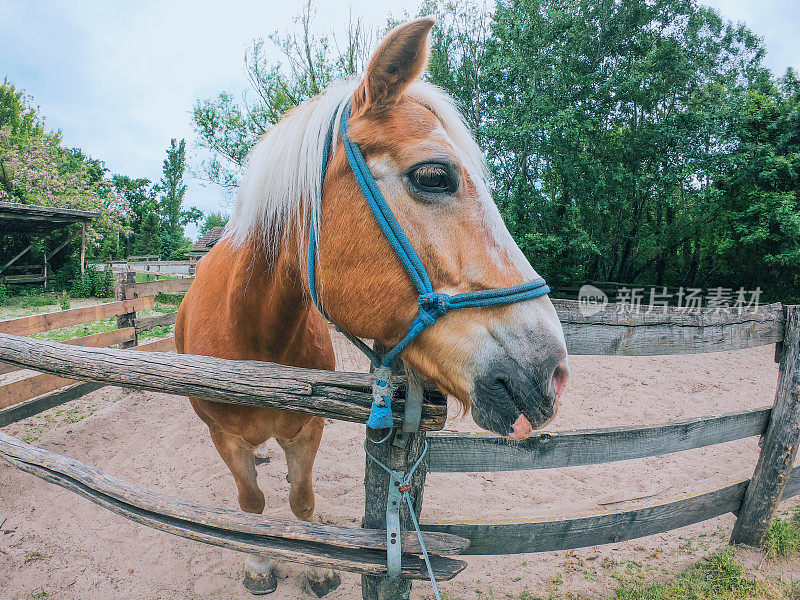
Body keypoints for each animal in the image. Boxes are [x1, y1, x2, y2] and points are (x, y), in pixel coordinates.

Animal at [173, 16, 568, 596]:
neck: (252, 339)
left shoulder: (306, 432)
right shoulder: (225, 438)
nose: (553, 371)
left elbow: (301, 500)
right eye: (433, 176)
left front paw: (316, 565)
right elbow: (251, 503)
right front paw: (261, 564)